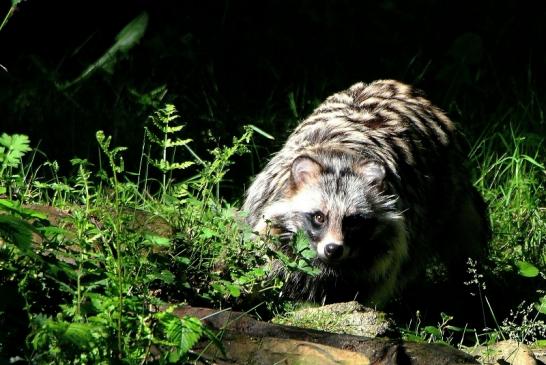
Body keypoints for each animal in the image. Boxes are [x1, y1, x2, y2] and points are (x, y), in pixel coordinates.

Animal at [240, 79, 486, 304]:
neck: (337, 159)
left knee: (461, 244)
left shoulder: (388, 244)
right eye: (319, 217)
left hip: (447, 194)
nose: (333, 249)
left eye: (352, 221)